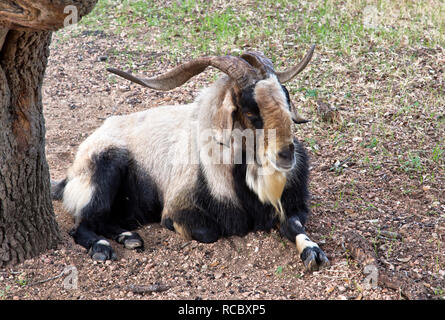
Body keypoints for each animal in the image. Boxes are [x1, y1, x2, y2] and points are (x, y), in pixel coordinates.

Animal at [53, 44, 330, 270]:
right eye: (251, 112)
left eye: (286, 99)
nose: (286, 155)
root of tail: (70, 175)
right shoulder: (177, 209)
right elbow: (211, 232)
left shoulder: (291, 205)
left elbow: (294, 226)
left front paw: (313, 252)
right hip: (106, 164)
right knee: (82, 224)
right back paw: (103, 247)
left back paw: (129, 237)